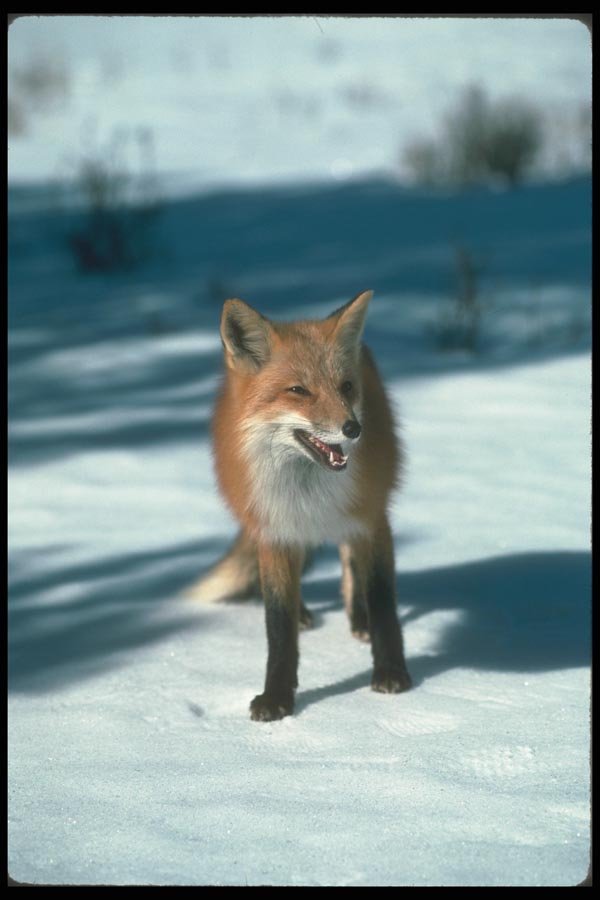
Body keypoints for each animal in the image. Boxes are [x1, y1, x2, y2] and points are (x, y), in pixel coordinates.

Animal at [190, 289, 411, 721]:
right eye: (299, 391)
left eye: (346, 387)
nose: (353, 428)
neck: (309, 492)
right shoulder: (275, 532)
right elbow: (278, 624)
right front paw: (277, 698)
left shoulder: (372, 520)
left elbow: (382, 600)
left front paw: (391, 672)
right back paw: (306, 613)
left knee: (349, 560)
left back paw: (357, 618)